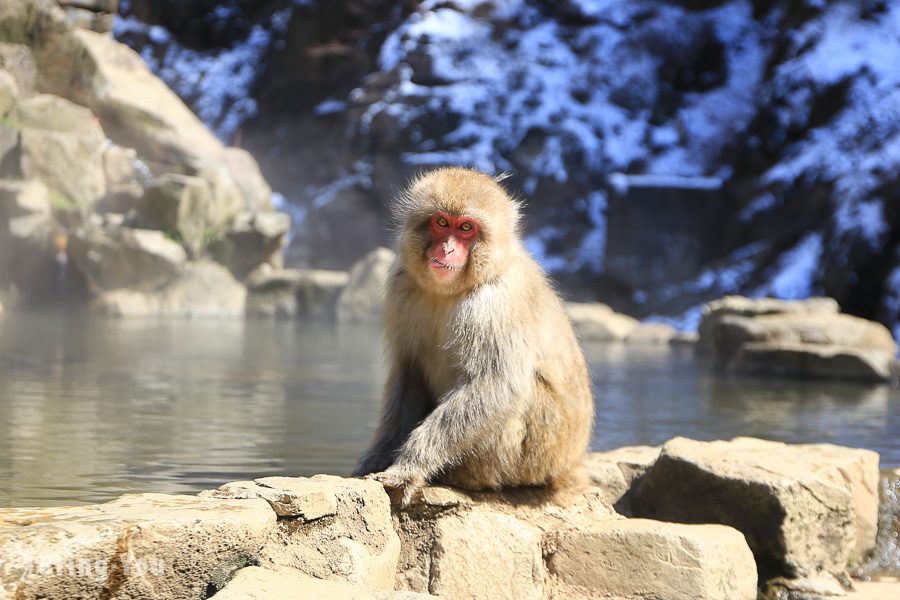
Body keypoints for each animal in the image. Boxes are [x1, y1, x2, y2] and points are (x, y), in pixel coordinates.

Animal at [354, 166, 596, 504]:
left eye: (466, 228)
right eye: (442, 223)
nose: (447, 249)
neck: (449, 292)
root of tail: (570, 462)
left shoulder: (493, 305)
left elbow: (495, 386)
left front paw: (409, 467)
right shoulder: (401, 287)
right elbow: (409, 373)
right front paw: (376, 456)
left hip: (536, 450)